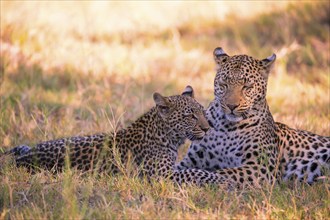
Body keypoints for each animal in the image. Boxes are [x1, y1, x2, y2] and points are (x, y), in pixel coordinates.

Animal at [3, 86, 229, 186]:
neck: (166, 135)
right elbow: (195, 173)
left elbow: (193, 169)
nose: (207, 128)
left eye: (203, 111)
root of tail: (22, 157)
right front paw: (222, 179)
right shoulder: (161, 174)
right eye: (190, 115)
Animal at [178, 47, 330, 186]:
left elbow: (221, 173)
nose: (231, 106)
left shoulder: (260, 167)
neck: (226, 126)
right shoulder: (191, 159)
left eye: (247, 86)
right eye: (224, 84)